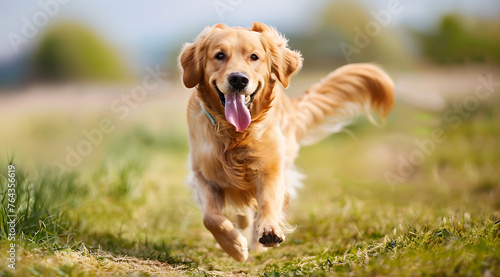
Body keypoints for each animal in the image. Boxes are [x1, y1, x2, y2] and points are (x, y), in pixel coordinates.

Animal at [180, 22, 394, 260]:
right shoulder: (201, 173)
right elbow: (211, 217)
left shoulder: (271, 167)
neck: (235, 133)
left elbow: (269, 201)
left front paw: (268, 231)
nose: (238, 79)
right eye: (219, 55)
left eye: (254, 57)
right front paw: (234, 246)